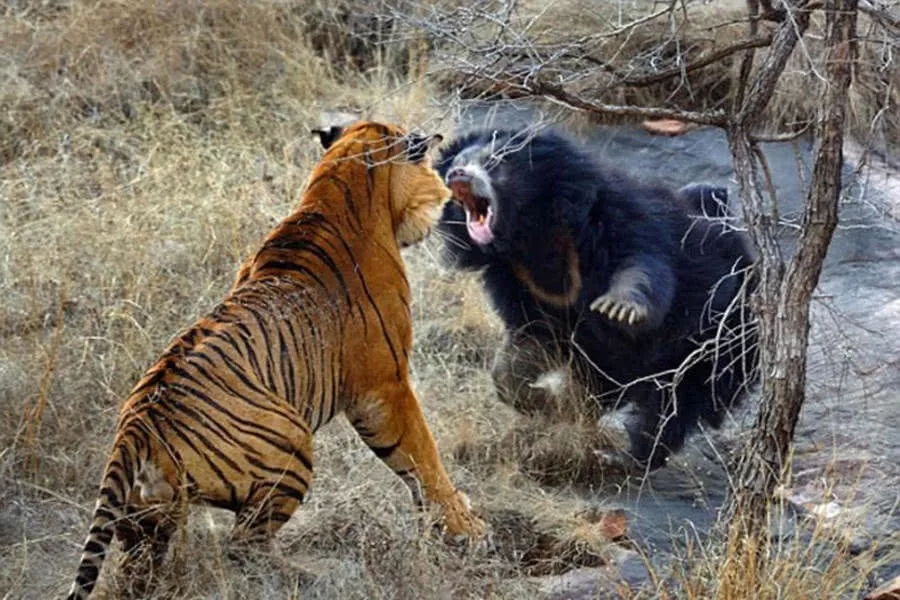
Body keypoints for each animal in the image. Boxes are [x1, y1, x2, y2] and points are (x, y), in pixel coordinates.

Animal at [65, 119, 486, 596]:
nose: (447, 193)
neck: (336, 187)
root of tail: (134, 427)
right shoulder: (385, 386)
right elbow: (422, 456)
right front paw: (465, 527)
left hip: (147, 517)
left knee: (140, 566)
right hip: (292, 442)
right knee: (244, 545)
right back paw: (315, 574)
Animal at [436, 129, 760, 472]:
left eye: (494, 161)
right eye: (456, 163)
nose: (457, 175)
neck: (530, 235)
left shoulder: (617, 220)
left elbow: (642, 266)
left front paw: (619, 308)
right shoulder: (520, 282)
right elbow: (529, 344)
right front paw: (546, 402)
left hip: (718, 341)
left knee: (675, 405)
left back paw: (627, 456)